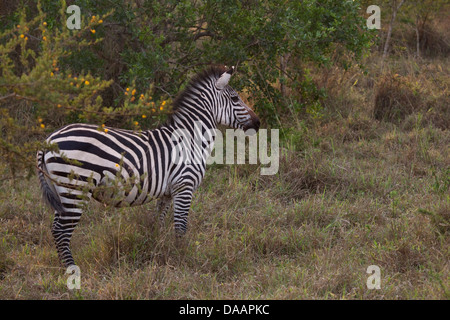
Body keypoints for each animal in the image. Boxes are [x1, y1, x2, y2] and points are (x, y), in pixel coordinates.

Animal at [37, 64, 262, 264]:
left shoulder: (167, 193)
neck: (191, 139)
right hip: (76, 188)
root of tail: (48, 140)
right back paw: (71, 268)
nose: (258, 123)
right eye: (235, 98)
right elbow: (181, 229)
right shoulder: (184, 186)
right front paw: (182, 259)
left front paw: (157, 251)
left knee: (55, 229)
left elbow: (158, 225)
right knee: (61, 231)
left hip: (61, 191)